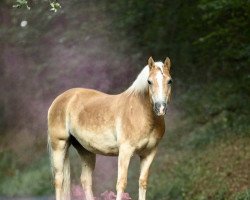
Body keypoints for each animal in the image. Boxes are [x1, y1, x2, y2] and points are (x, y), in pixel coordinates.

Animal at [47, 56, 172, 200]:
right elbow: (121, 183)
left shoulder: (149, 153)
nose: (160, 108)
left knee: (86, 180)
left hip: (85, 150)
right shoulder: (125, 151)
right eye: (149, 81)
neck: (140, 113)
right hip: (59, 145)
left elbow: (142, 182)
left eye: (169, 81)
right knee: (59, 180)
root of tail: (60, 99)